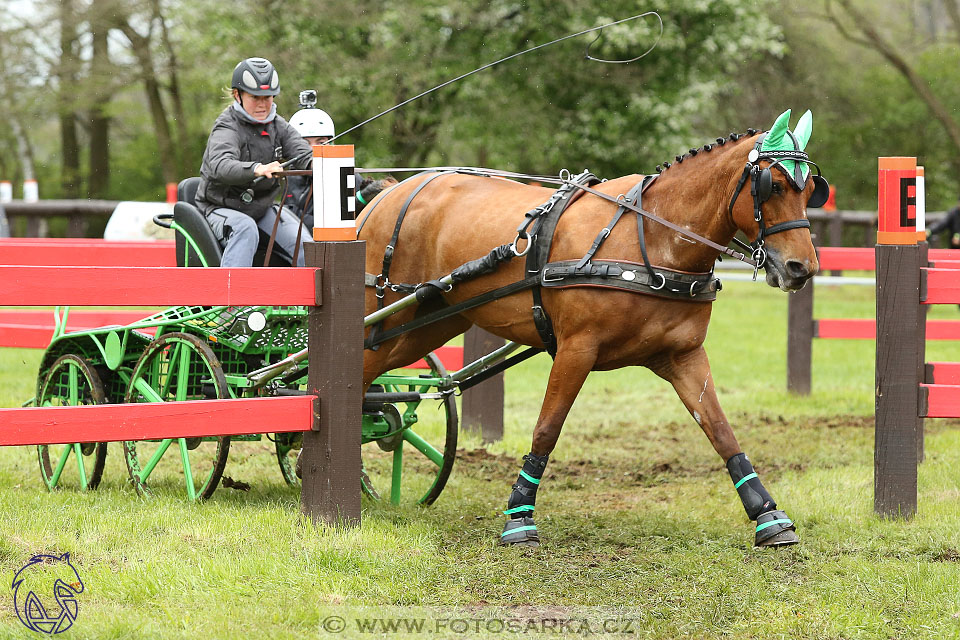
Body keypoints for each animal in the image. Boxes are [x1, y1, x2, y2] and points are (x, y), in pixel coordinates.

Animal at [356, 109, 820, 544]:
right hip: (388, 316)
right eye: (774, 186)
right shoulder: (575, 350)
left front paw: (768, 516)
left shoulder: (682, 356)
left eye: (812, 189)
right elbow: (546, 429)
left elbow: (722, 431)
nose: (802, 268)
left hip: (429, 325)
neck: (649, 240)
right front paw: (519, 518)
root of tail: (389, 193)